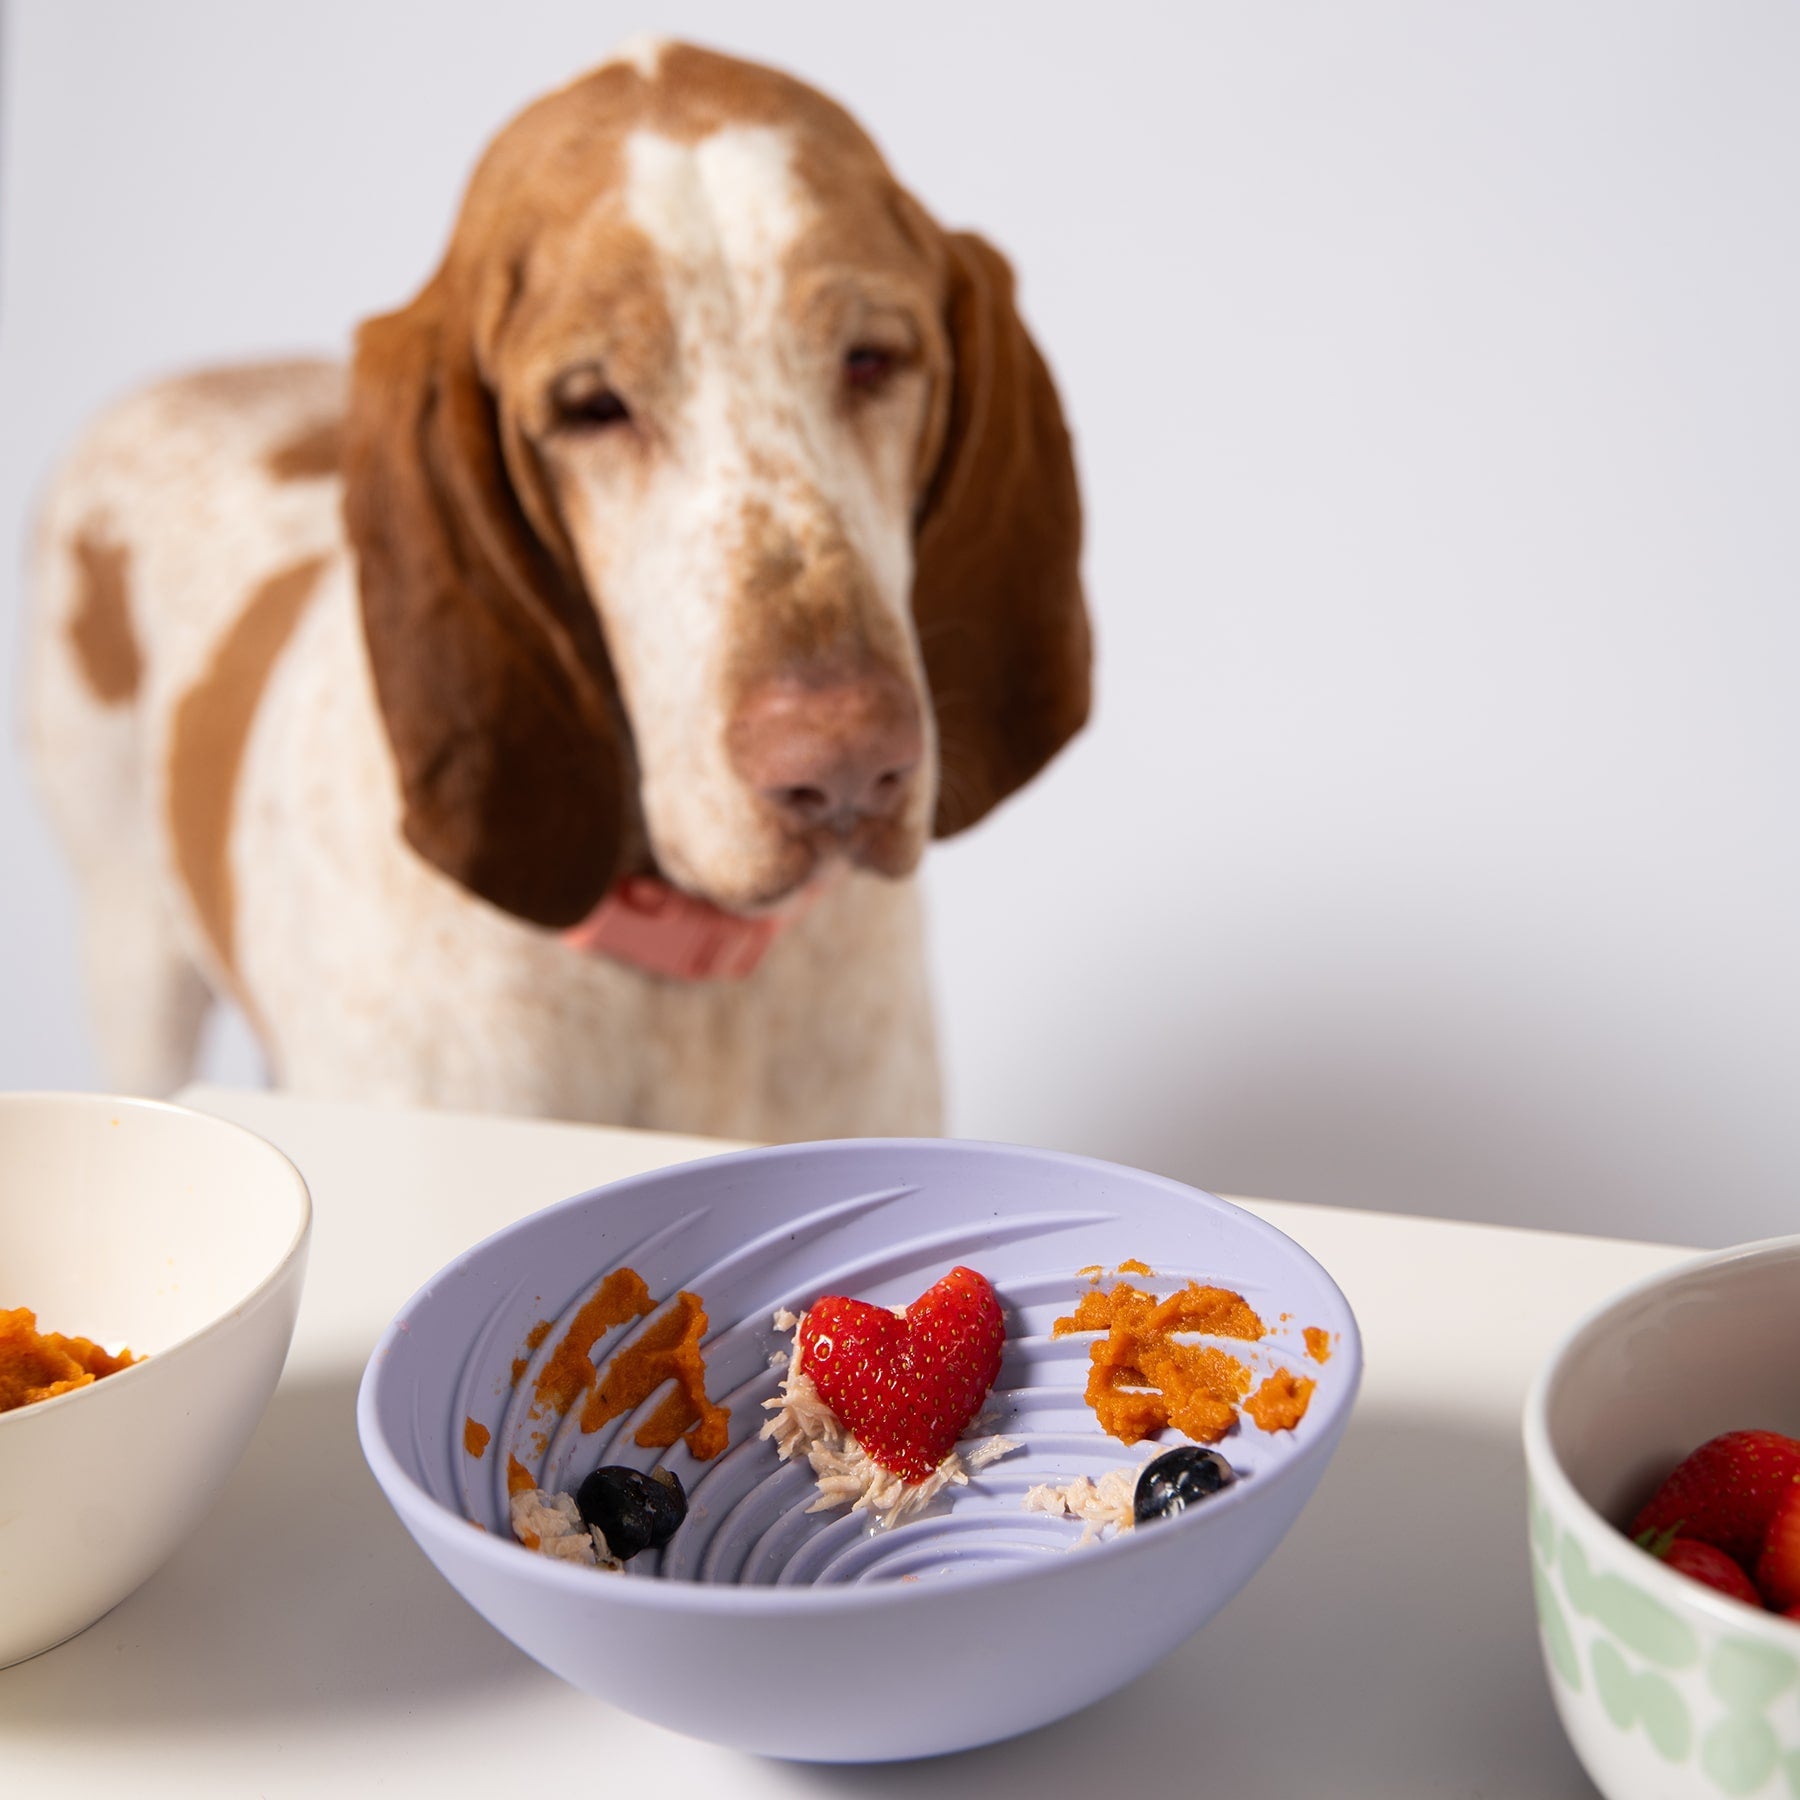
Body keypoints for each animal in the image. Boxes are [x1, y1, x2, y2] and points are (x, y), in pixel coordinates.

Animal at [28, 42, 1087, 1137]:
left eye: (874, 358)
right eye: (592, 406)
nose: (844, 767)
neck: (689, 981)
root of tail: (194, 377)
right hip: (130, 945)